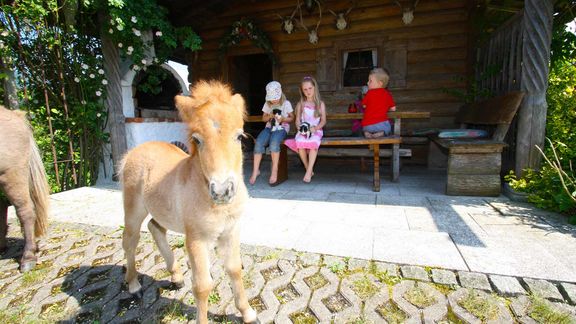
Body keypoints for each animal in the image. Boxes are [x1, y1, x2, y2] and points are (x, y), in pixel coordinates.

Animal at [120, 79, 256, 322]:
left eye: (239, 136)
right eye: (196, 140)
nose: (222, 190)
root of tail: (133, 151)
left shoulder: (231, 230)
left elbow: (234, 269)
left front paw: (248, 313)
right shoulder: (196, 239)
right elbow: (202, 286)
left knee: (155, 227)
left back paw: (176, 276)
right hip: (134, 208)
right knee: (130, 240)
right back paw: (134, 285)